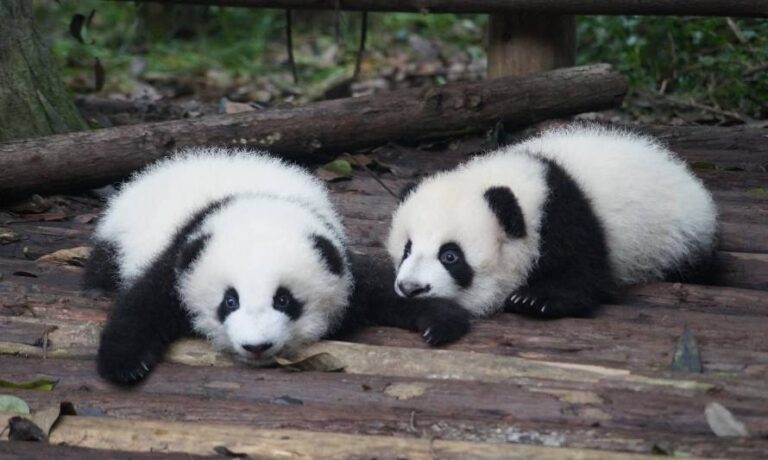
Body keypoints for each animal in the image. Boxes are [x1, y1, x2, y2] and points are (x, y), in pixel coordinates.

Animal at [86, 148, 468, 386]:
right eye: (230, 301)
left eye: (284, 300)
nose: (256, 347)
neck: (258, 202)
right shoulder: (183, 253)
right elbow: (144, 303)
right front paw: (125, 364)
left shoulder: (337, 256)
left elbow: (381, 287)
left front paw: (439, 320)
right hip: (117, 236)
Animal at [387, 123, 718, 329]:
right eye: (407, 250)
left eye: (450, 256)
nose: (411, 288)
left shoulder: (565, 217)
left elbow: (584, 274)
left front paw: (534, 299)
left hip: (679, 236)